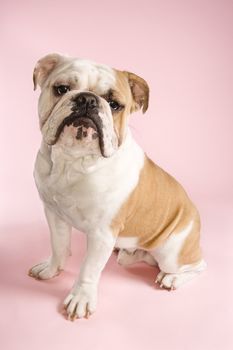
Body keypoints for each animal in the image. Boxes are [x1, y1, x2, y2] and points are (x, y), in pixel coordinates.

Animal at [28, 54, 206, 320]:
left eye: (114, 105)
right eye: (62, 89)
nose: (87, 99)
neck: (74, 162)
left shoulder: (102, 233)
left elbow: (88, 270)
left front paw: (80, 298)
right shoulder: (54, 214)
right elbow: (59, 246)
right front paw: (51, 269)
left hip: (172, 252)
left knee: (197, 265)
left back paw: (172, 279)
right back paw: (131, 253)